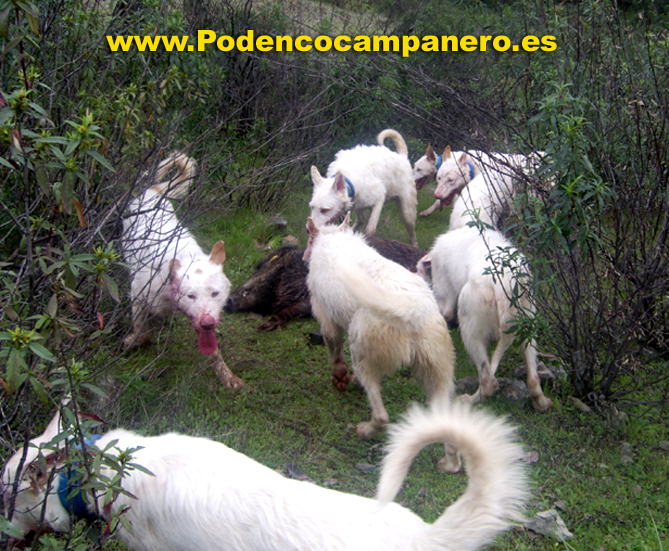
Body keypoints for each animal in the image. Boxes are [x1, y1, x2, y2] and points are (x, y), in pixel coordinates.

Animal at [122, 152, 242, 389]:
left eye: (215, 293)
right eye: (190, 296)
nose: (208, 323)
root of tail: (151, 191)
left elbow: (214, 353)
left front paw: (226, 376)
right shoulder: (137, 293)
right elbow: (141, 330)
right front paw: (134, 341)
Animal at [304, 215, 460, 472]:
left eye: (308, 239)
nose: (304, 255)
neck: (334, 236)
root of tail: (412, 309)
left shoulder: (324, 315)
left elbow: (334, 349)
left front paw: (340, 377)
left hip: (361, 348)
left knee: (381, 414)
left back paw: (365, 430)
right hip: (438, 366)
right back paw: (450, 464)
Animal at [420, 227, 552, 411]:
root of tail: (505, 284)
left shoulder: (443, 294)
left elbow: (445, 314)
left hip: (470, 322)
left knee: (488, 380)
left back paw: (471, 399)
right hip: (529, 321)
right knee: (533, 377)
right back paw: (541, 402)